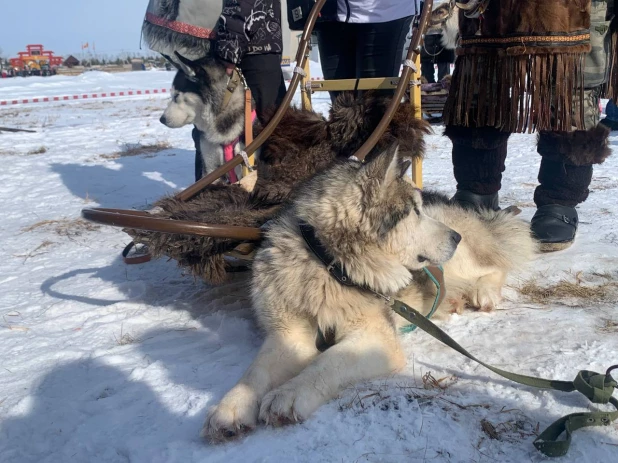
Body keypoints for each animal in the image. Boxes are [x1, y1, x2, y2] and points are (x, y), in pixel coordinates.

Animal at [202, 143, 536, 440]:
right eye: (415, 212)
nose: (456, 237)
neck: (330, 266)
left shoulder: (375, 339)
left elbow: (327, 361)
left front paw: (289, 394)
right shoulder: (288, 334)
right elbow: (255, 372)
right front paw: (231, 407)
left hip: (460, 262)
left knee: (495, 266)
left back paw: (484, 292)